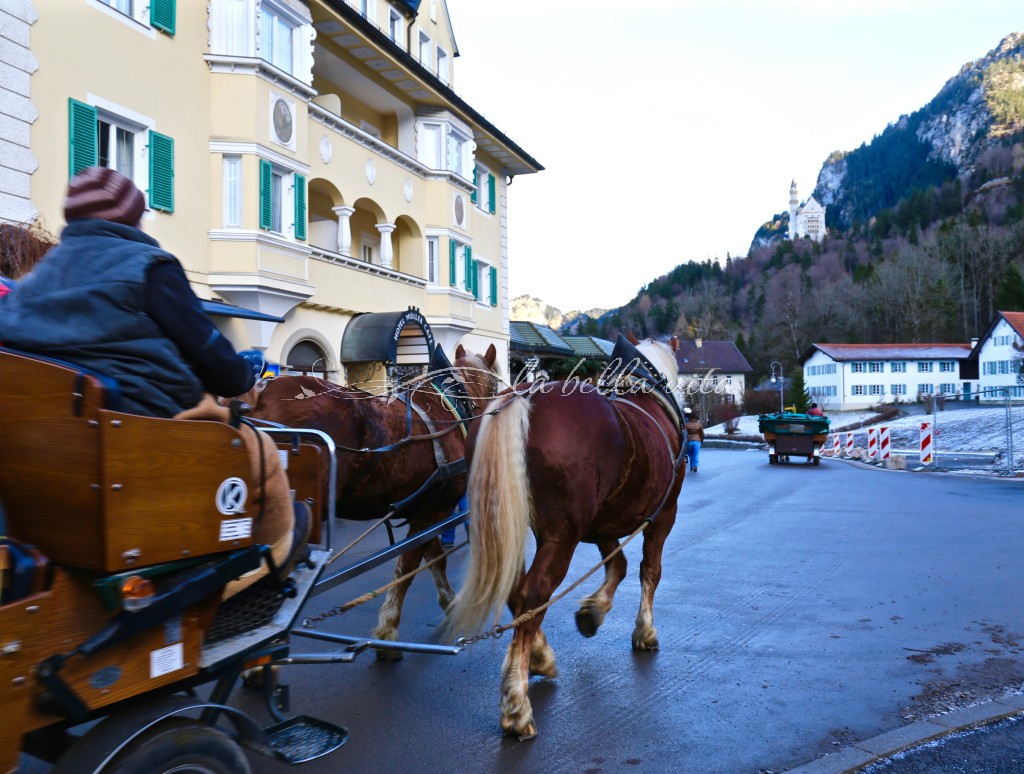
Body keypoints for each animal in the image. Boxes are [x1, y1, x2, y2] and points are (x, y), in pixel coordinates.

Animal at [249, 344, 501, 651]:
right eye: (495, 382)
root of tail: (261, 398)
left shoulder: (427, 510)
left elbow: (435, 558)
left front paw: (448, 601)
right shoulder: (434, 512)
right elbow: (408, 568)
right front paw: (388, 629)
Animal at [444, 337, 684, 737]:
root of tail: (523, 397)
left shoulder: (601, 521)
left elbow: (617, 565)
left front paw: (593, 612)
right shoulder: (663, 516)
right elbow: (650, 571)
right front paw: (644, 630)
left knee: (517, 591)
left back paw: (538, 658)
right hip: (562, 535)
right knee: (534, 594)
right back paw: (517, 705)